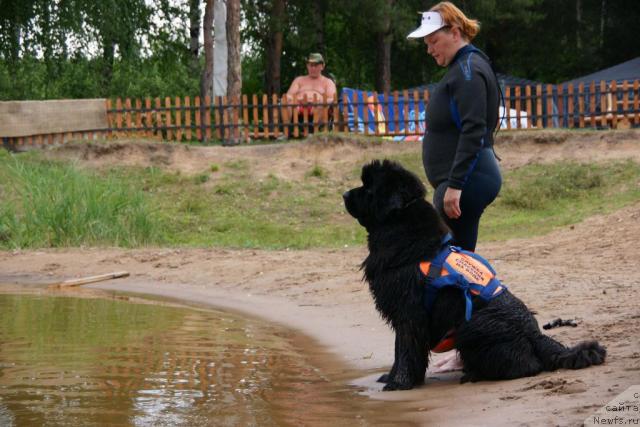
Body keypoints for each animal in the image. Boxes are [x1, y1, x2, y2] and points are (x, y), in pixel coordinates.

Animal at [342, 160, 608, 392]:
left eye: (368, 188)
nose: (344, 195)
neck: (401, 230)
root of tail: (537, 335)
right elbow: (401, 351)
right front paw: (392, 377)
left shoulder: (409, 314)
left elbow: (405, 350)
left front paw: (399, 383)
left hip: (471, 326)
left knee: (527, 365)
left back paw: (474, 374)